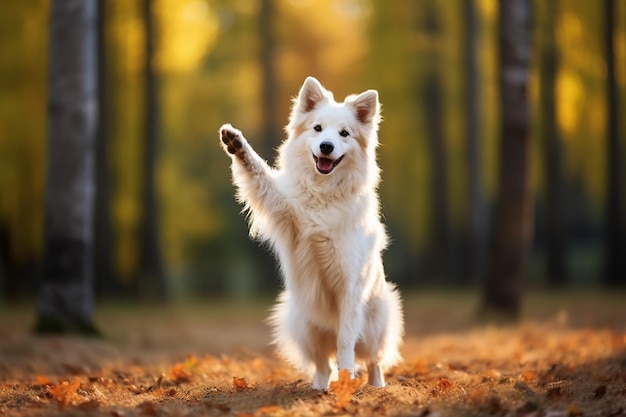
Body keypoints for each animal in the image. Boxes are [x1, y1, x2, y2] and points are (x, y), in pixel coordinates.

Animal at [219, 75, 402, 390]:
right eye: (317, 128)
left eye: (344, 134)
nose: (326, 146)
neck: (323, 193)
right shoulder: (280, 207)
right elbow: (259, 174)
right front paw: (237, 143)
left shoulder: (350, 288)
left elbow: (346, 342)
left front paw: (347, 375)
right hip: (303, 323)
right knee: (321, 363)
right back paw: (318, 388)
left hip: (376, 323)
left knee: (373, 360)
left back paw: (376, 386)